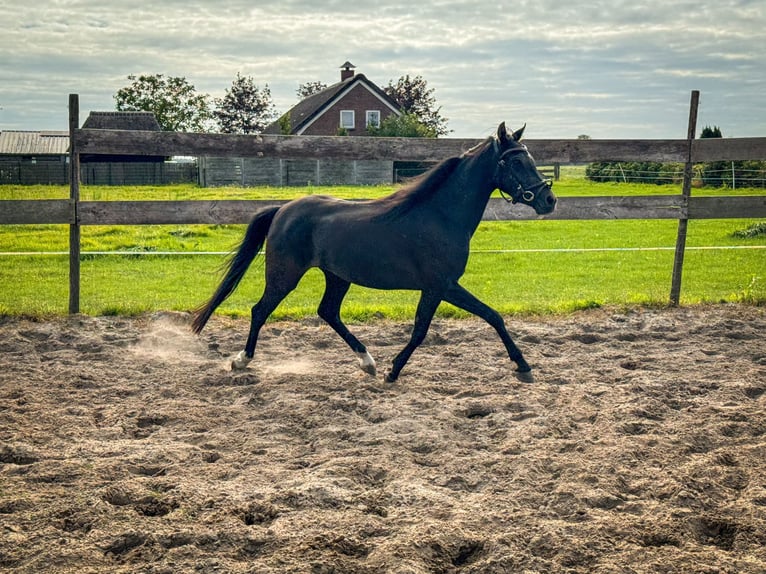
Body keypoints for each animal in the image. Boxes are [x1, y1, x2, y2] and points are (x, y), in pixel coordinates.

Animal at [192, 122, 560, 382]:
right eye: (516, 162)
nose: (548, 200)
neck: (441, 215)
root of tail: (283, 209)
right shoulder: (441, 285)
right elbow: (444, 325)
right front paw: (393, 371)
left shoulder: (439, 287)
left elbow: (480, 318)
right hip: (285, 275)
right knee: (260, 310)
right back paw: (241, 361)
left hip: (337, 277)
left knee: (328, 312)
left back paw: (366, 362)